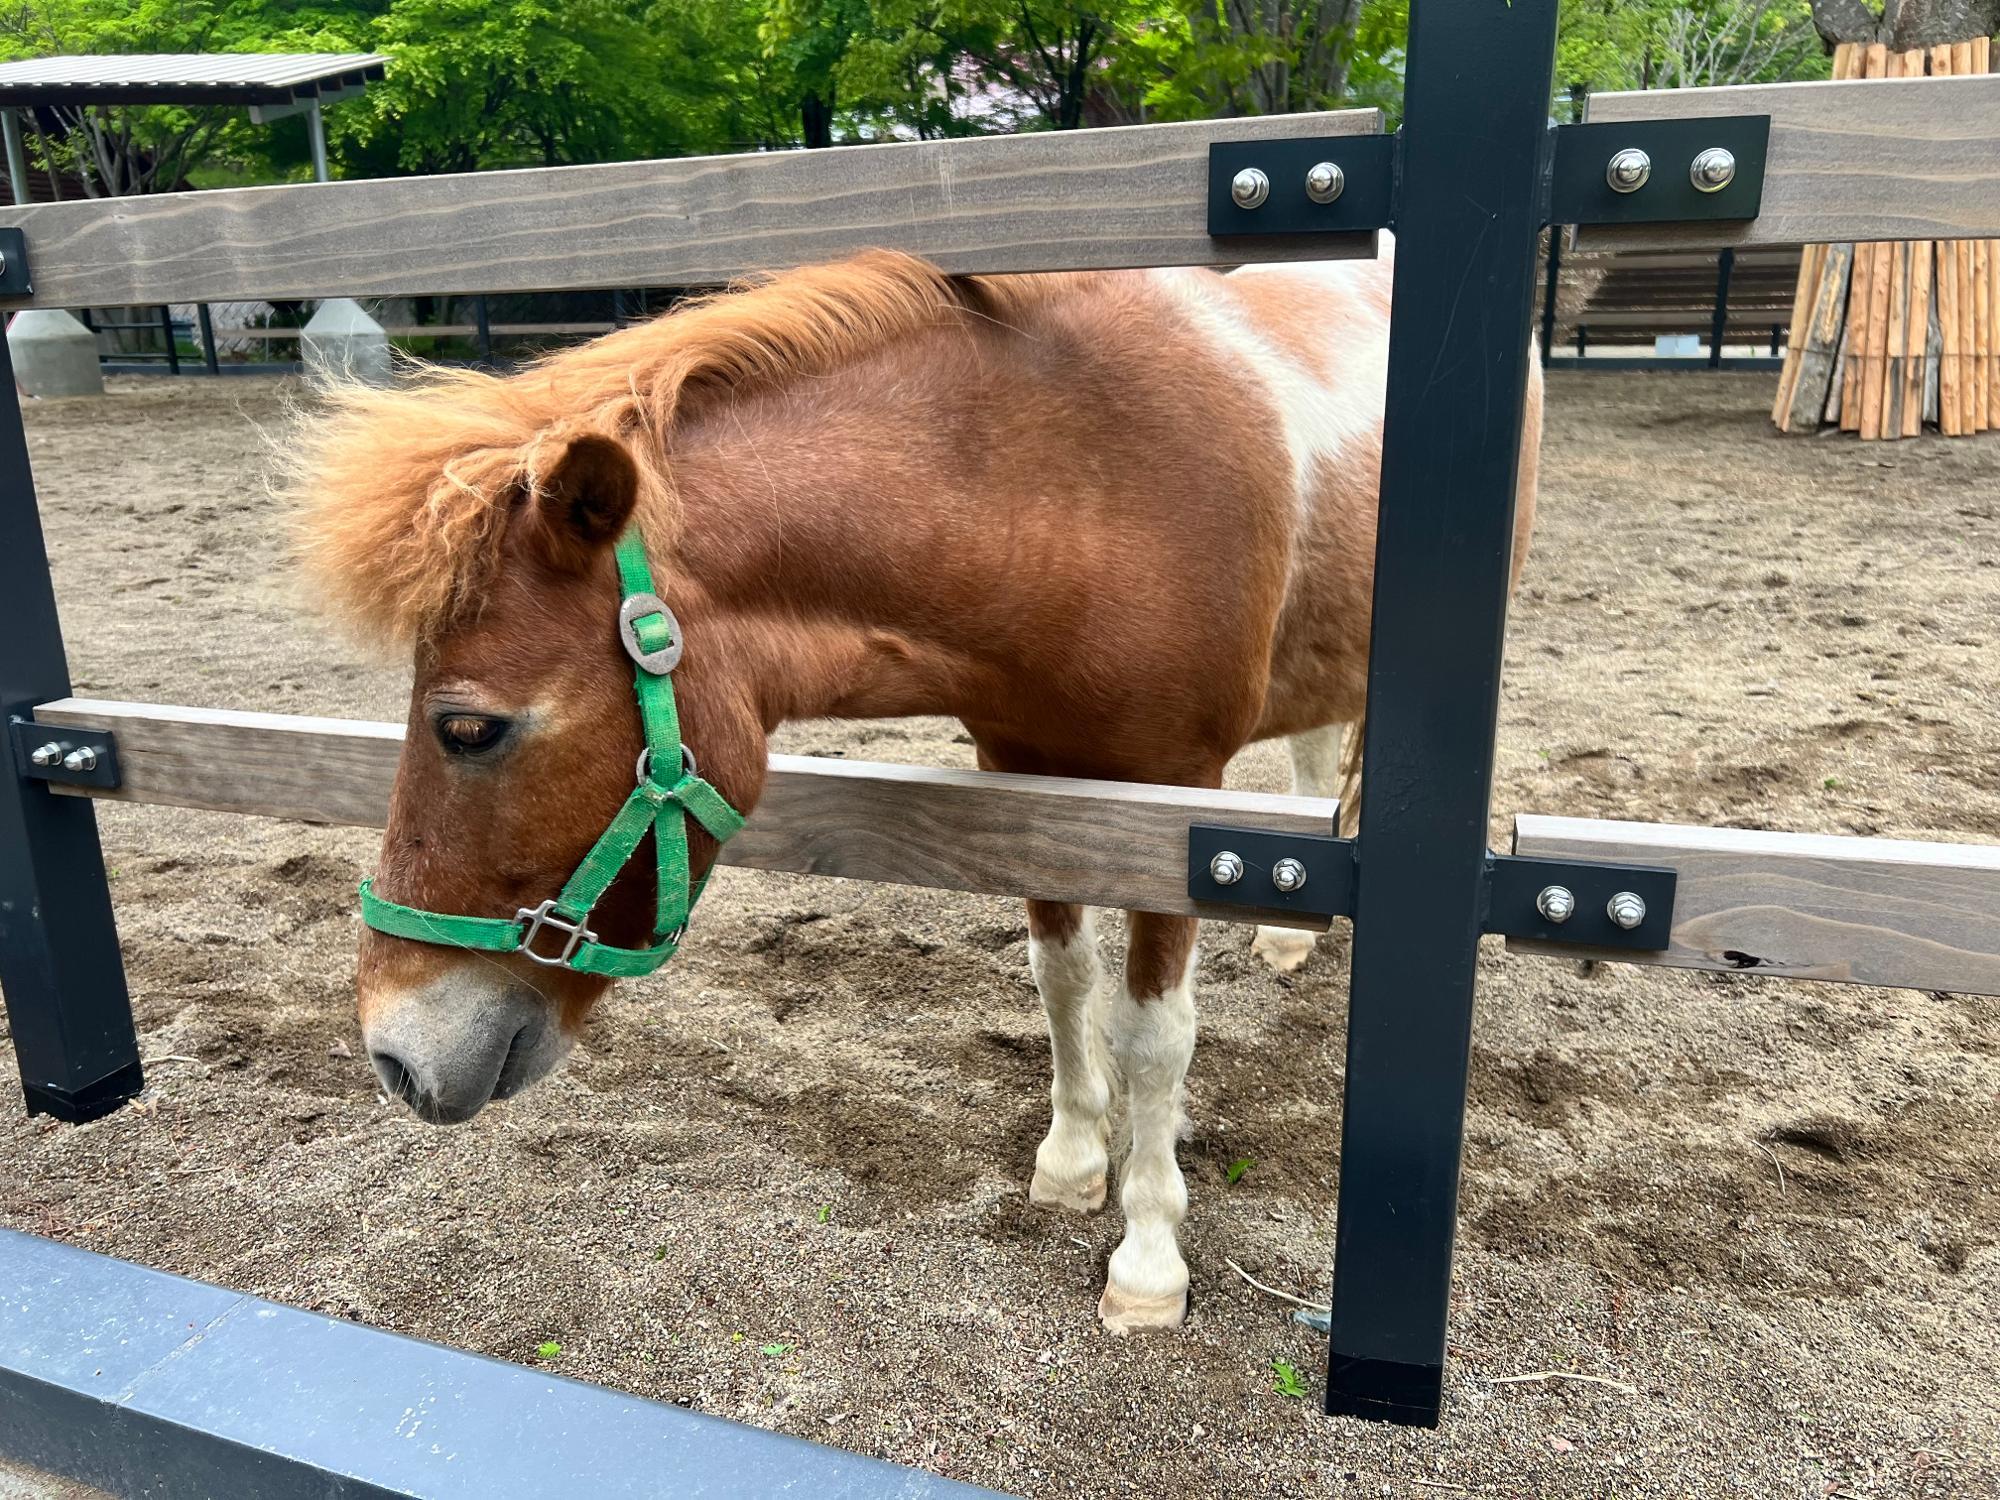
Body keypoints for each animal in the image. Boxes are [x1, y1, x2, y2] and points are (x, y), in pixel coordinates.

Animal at [300, 241, 1544, 1336]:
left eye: (468, 728)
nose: (393, 1055)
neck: (1074, 491)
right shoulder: (1023, 772)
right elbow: (1059, 981)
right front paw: (1073, 1159)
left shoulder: (1176, 803)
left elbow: (1153, 1035)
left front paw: (1146, 1257)